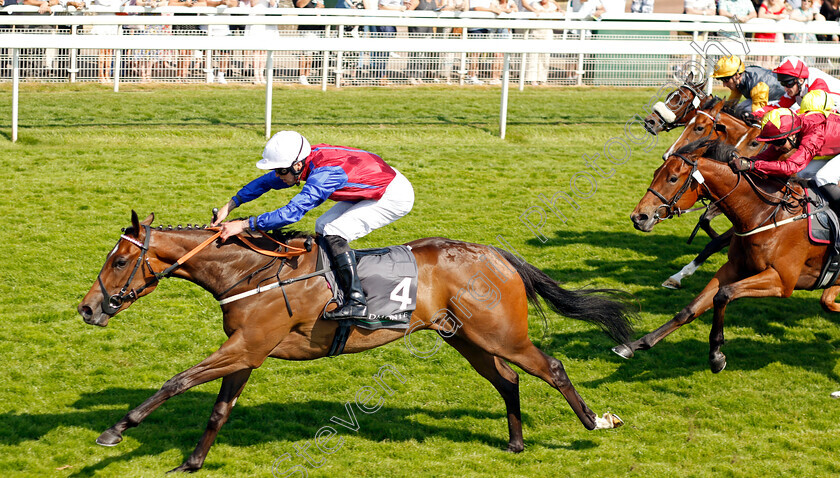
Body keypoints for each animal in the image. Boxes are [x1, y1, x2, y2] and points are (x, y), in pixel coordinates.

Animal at [79, 214, 632, 474]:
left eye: (118, 261)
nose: (87, 308)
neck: (250, 272)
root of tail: (496, 253)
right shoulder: (246, 351)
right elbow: (218, 409)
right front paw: (191, 462)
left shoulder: (247, 346)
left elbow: (177, 381)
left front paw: (116, 430)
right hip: (466, 337)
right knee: (508, 378)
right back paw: (516, 442)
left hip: (502, 334)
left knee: (551, 367)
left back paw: (595, 422)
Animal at [620, 140, 840, 376]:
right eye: (655, 173)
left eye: (673, 178)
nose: (639, 217)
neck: (766, 214)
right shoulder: (732, 268)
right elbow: (690, 309)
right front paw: (636, 344)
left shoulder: (782, 281)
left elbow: (723, 295)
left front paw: (716, 356)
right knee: (827, 301)